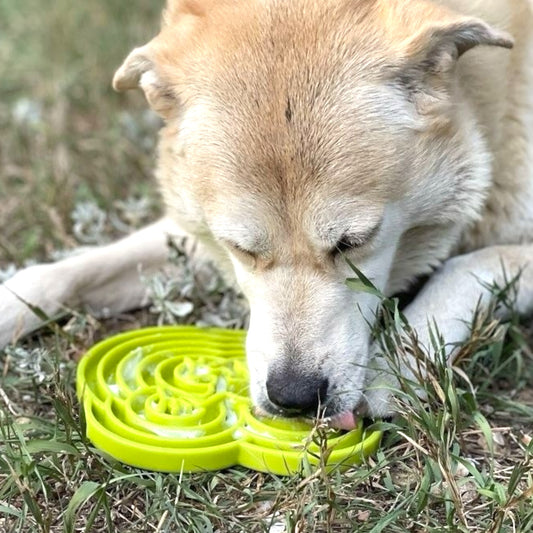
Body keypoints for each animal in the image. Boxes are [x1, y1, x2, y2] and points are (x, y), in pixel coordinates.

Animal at [1, 0, 532, 428]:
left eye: (355, 241)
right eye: (240, 248)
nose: (293, 398)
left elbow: (470, 263)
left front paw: (398, 362)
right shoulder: (193, 234)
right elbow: (67, 272)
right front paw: (11, 301)